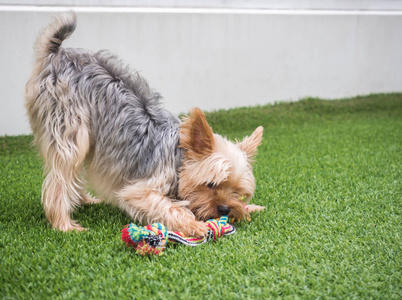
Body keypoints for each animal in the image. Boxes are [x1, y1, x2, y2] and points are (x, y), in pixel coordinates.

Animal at [25, 12, 264, 237]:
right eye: (211, 184)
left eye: (237, 190)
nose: (225, 209)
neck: (178, 159)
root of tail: (57, 55)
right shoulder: (141, 191)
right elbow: (168, 207)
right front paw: (195, 225)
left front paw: (250, 207)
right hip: (70, 129)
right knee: (60, 178)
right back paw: (64, 224)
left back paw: (85, 200)